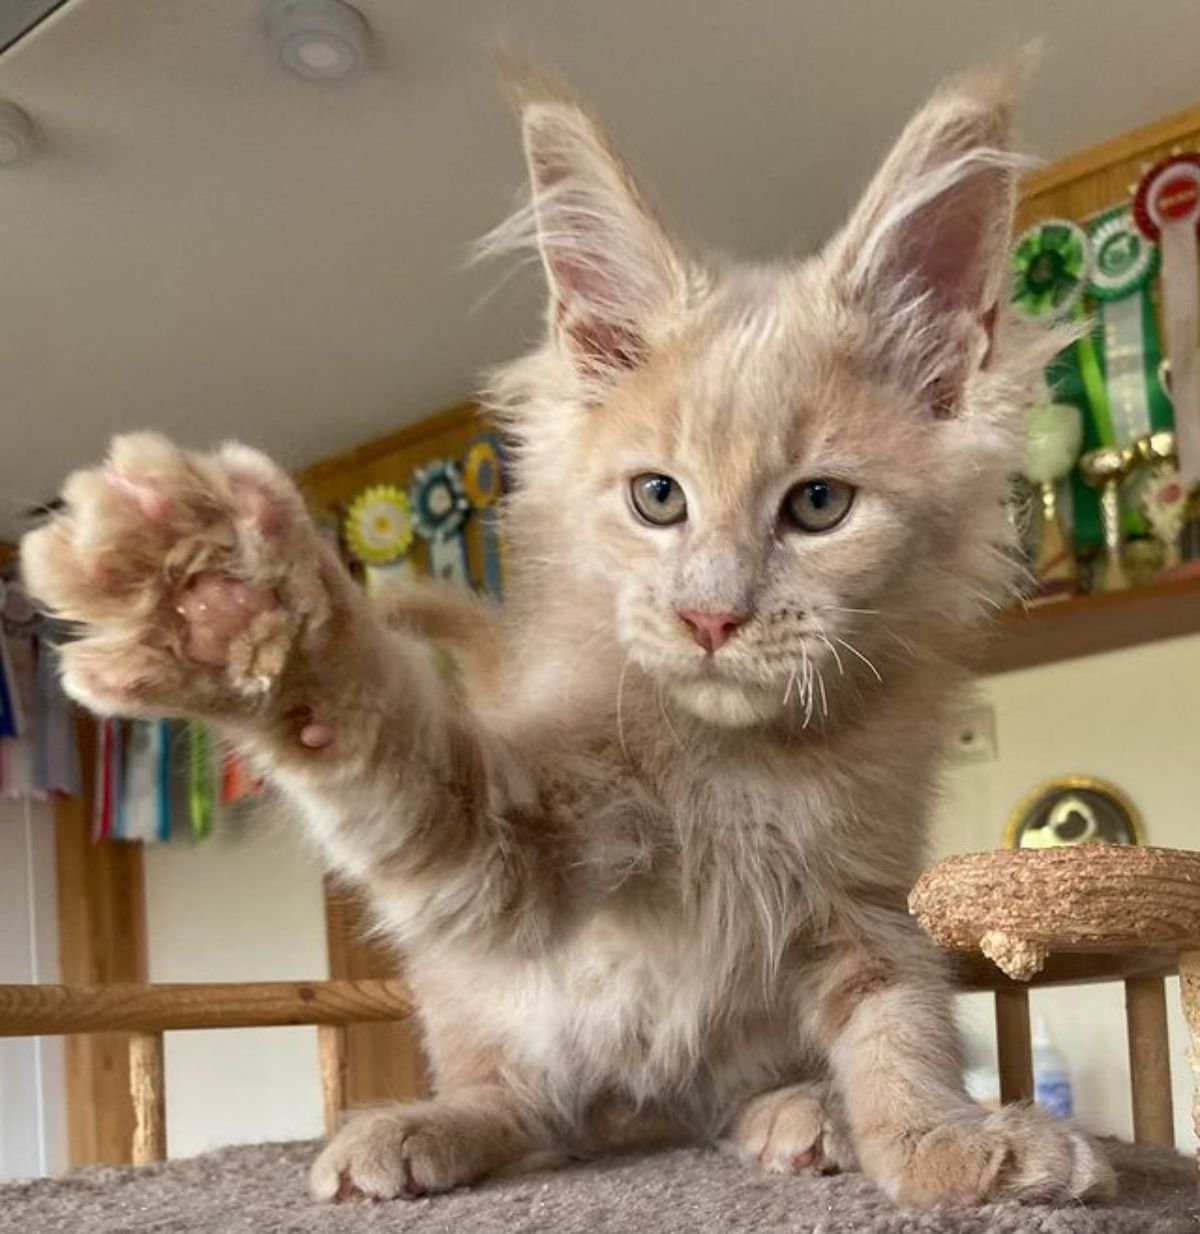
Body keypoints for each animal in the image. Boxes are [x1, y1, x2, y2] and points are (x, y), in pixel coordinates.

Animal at [21, 60, 1116, 1204]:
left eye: (818, 506)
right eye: (657, 498)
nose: (711, 613)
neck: (741, 762)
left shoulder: (863, 893)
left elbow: (900, 1020)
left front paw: (944, 1139)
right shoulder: (516, 844)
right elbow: (389, 744)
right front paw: (232, 603)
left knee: (710, 1094)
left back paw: (797, 1113)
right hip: (477, 994)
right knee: (540, 1108)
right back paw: (436, 1125)